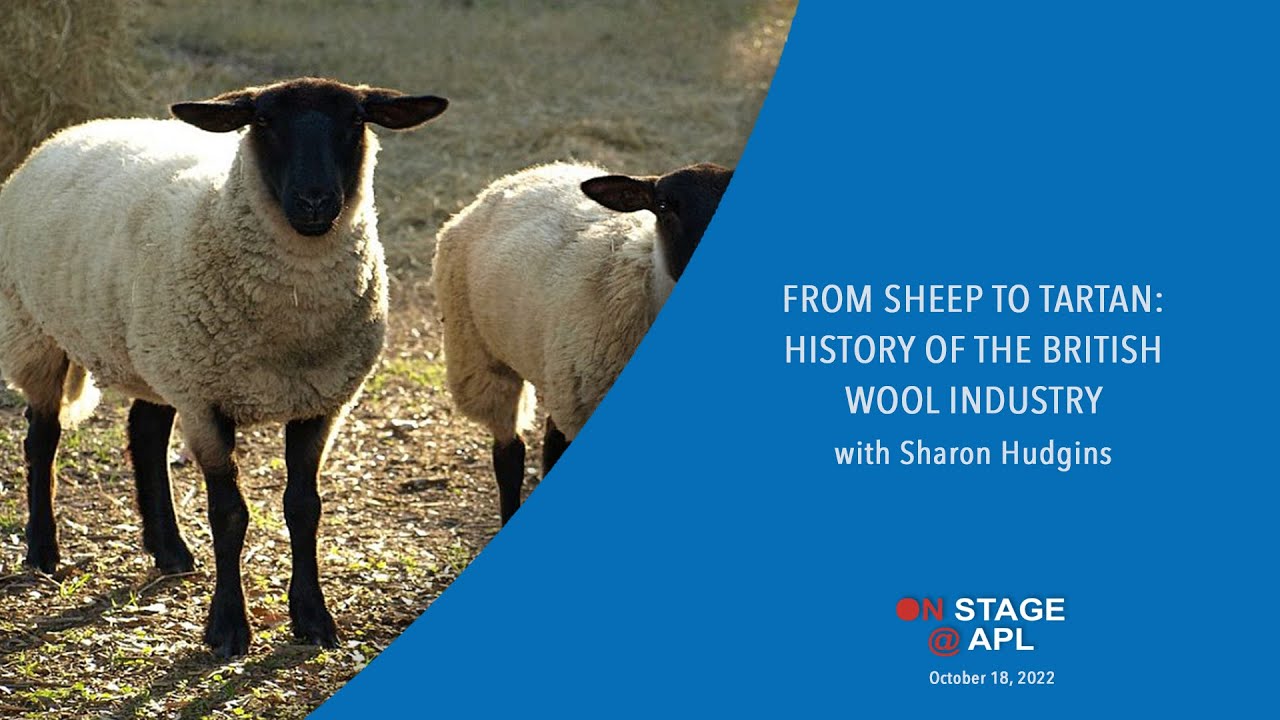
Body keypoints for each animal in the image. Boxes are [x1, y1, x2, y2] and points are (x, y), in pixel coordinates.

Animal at [0, 77, 448, 657]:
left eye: (355, 120)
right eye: (264, 122)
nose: (314, 200)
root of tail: (69, 131)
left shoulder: (320, 401)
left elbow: (304, 507)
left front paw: (313, 618)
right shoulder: (206, 403)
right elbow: (230, 514)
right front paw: (229, 627)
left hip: (158, 353)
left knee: (144, 432)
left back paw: (169, 550)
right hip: (37, 330)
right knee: (42, 439)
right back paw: (43, 550)